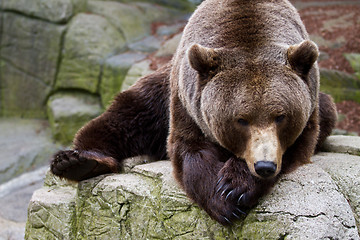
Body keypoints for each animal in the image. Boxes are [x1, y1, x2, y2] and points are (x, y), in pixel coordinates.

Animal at [50, 0, 338, 225]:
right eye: (241, 120)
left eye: (281, 116)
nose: (264, 166)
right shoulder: (186, 103)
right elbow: (190, 150)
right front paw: (223, 199)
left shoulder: (309, 107)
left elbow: (296, 144)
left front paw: (235, 186)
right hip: (158, 94)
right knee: (126, 115)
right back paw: (78, 161)